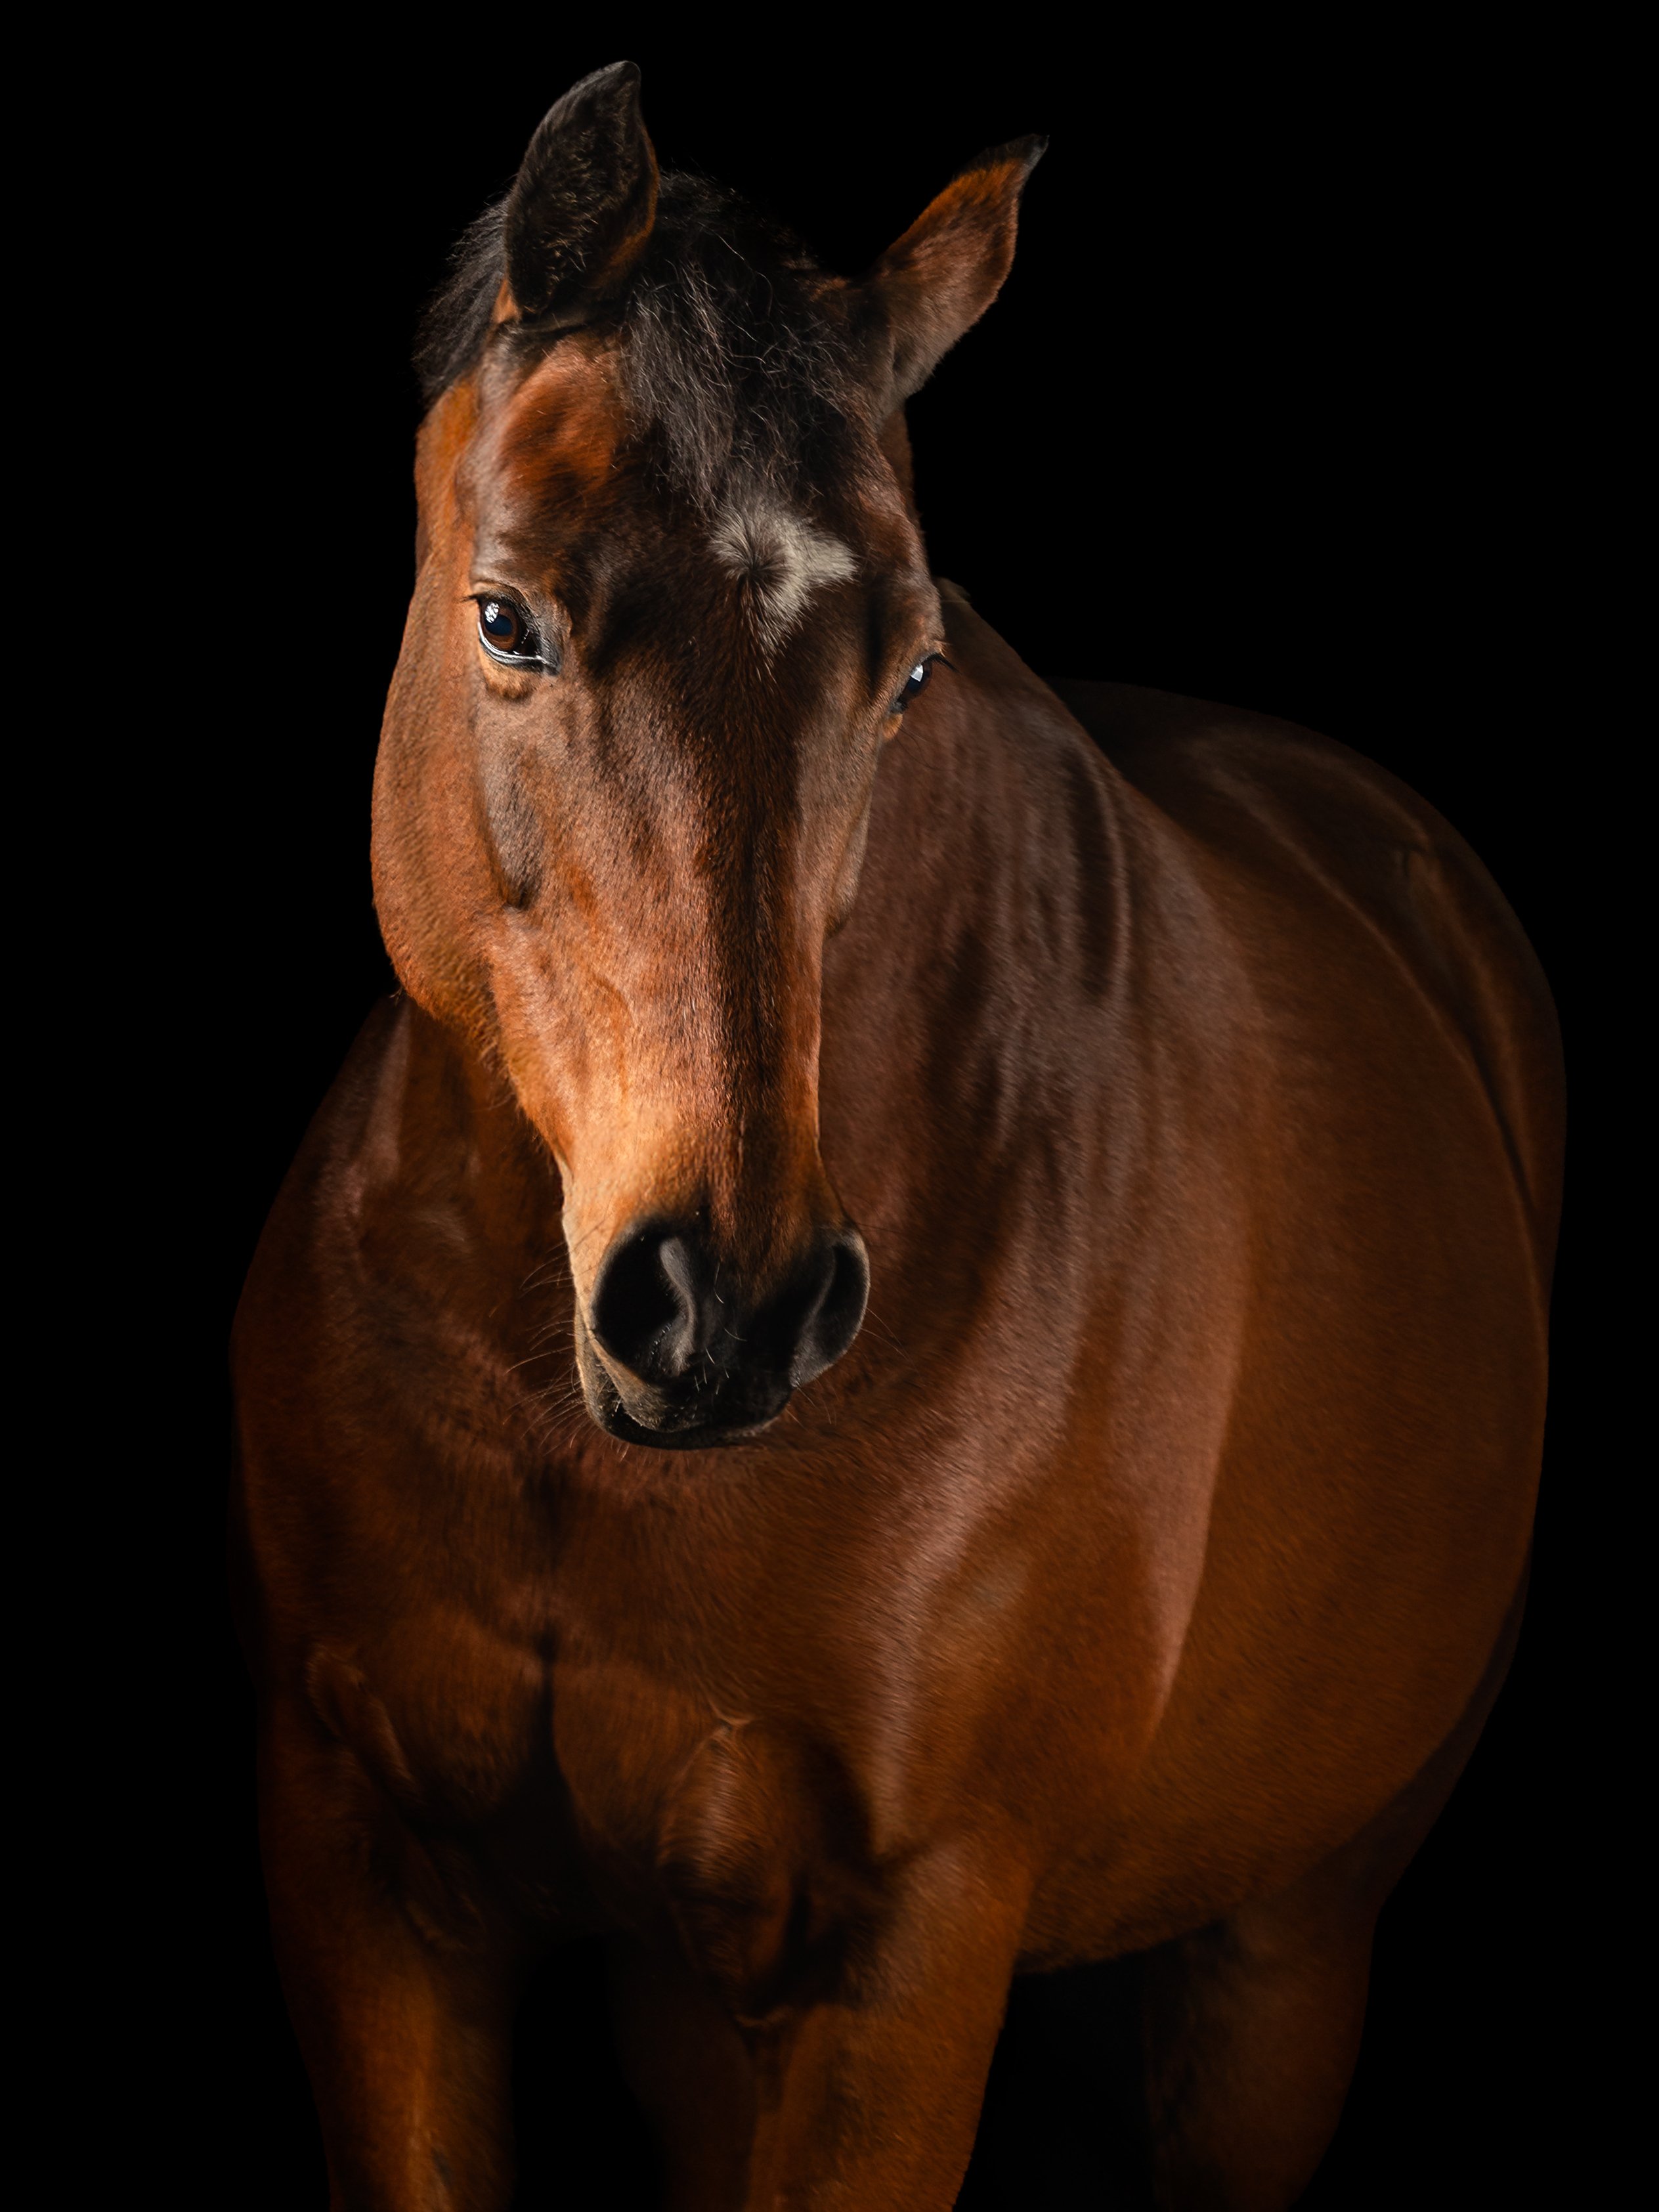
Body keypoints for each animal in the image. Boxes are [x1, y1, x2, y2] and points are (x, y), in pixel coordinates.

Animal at [231, 61, 1562, 2211]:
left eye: (912, 669)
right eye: (505, 619)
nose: (729, 1308)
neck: (569, 1433)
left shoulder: (901, 1956)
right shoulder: (368, 1873)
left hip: (1277, 1966)